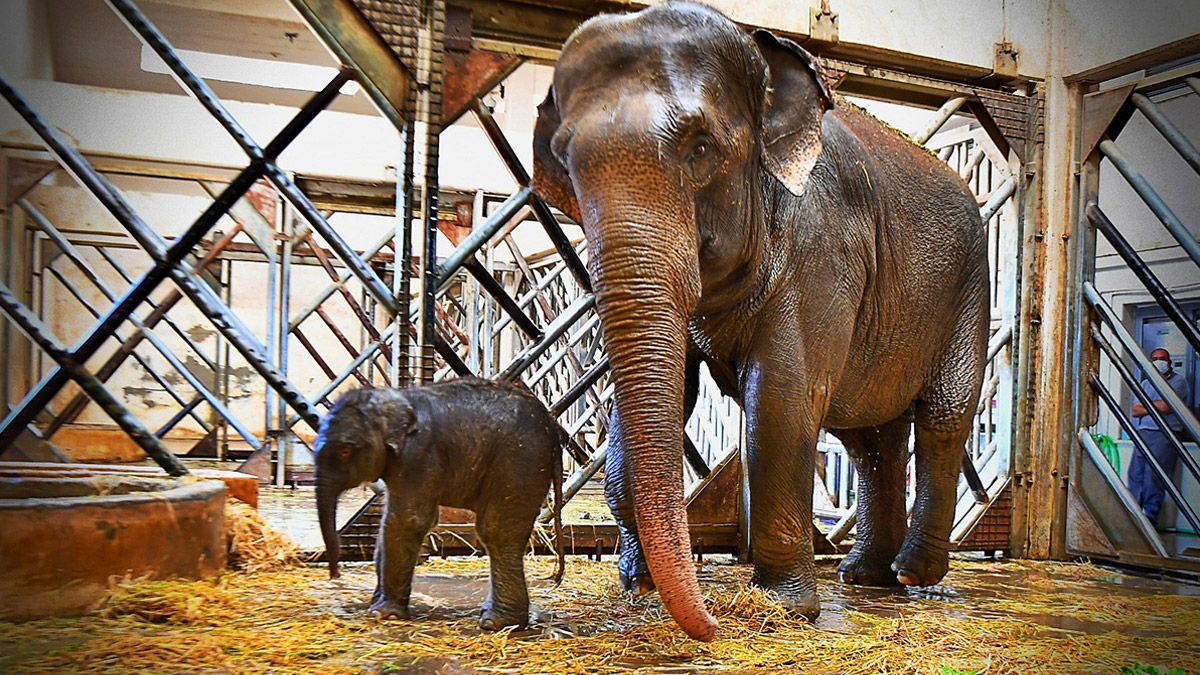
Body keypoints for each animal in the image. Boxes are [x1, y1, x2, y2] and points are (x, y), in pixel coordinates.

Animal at [316, 374, 564, 629]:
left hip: (519, 462)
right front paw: (376, 604)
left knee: (496, 531)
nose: (335, 575)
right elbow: (391, 522)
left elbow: (406, 520)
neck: (397, 398)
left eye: (345, 451)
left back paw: (496, 623)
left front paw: (383, 614)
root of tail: (552, 430)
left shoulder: (419, 455)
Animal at [532, 1, 984, 638]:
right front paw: (637, 585)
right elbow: (671, 389)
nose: (712, 625)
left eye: (700, 148)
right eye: (567, 166)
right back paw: (865, 577)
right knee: (870, 438)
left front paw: (782, 608)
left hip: (969, 282)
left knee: (941, 416)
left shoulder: (823, 242)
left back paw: (913, 574)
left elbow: (781, 396)